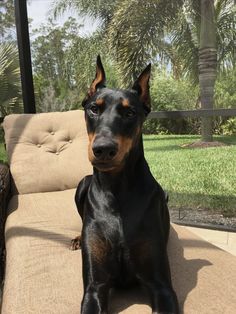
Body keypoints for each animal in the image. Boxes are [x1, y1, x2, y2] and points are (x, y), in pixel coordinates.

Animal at [72, 56, 179, 314]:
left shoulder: (161, 286)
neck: (117, 189)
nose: (103, 149)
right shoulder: (95, 286)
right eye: (94, 108)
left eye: (130, 112)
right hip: (82, 184)